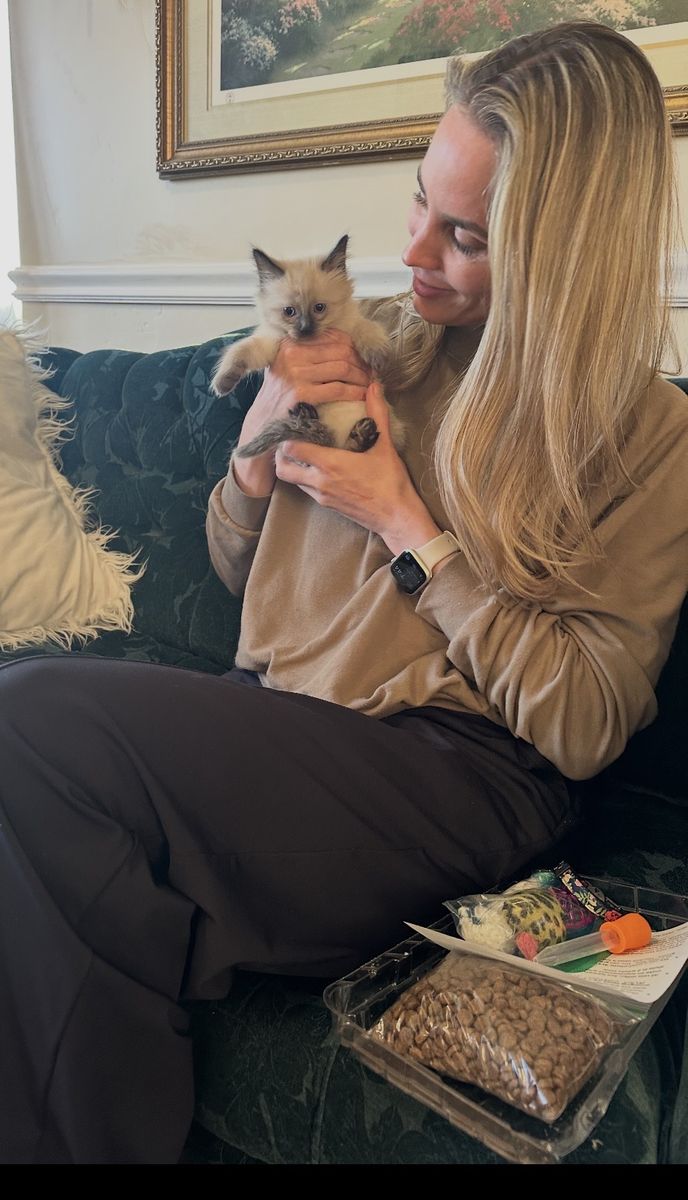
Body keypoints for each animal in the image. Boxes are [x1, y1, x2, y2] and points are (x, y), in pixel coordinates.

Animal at [211, 235, 405, 458]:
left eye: (319, 308)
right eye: (289, 311)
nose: (305, 329)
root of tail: (331, 436)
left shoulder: (353, 326)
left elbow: (369, 330)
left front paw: (378, 358)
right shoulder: (270, 343)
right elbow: (239, 351)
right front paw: (223, 384)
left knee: (348, 448)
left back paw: (360, 434)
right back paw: (307, 415)